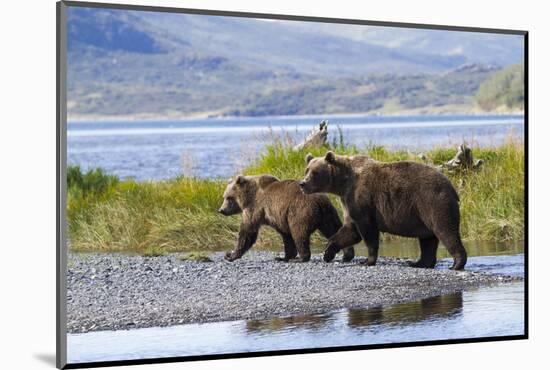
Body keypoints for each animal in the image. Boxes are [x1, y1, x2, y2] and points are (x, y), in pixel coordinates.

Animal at [218, 175, 356, 262]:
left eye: (229, 197)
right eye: (224, 196)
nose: (221, 210)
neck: (247, 197)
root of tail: (319, 200)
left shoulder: (255, 208)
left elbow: (247, 232)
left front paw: (230, 255)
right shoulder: (279, 216)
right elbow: (286, 235)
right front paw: (283, 257)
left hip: (299, 211)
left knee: (299, 233)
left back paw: (302, 258)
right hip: (328, 214)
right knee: (334, 229)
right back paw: (347, 255)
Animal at [300, 152, 468, 270]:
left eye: (315, 173)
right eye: (307, 170)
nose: (302, 183)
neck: (343, 184)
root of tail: (451, 186)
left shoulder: (362, 199)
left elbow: (367, 231)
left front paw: (367, 261)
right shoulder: (348, 202)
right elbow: (349, 230)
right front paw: (328, 252)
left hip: (433, 201)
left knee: (445, 230)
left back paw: (456, 264)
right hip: (423, 213)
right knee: (428, 239)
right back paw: (419, 263)